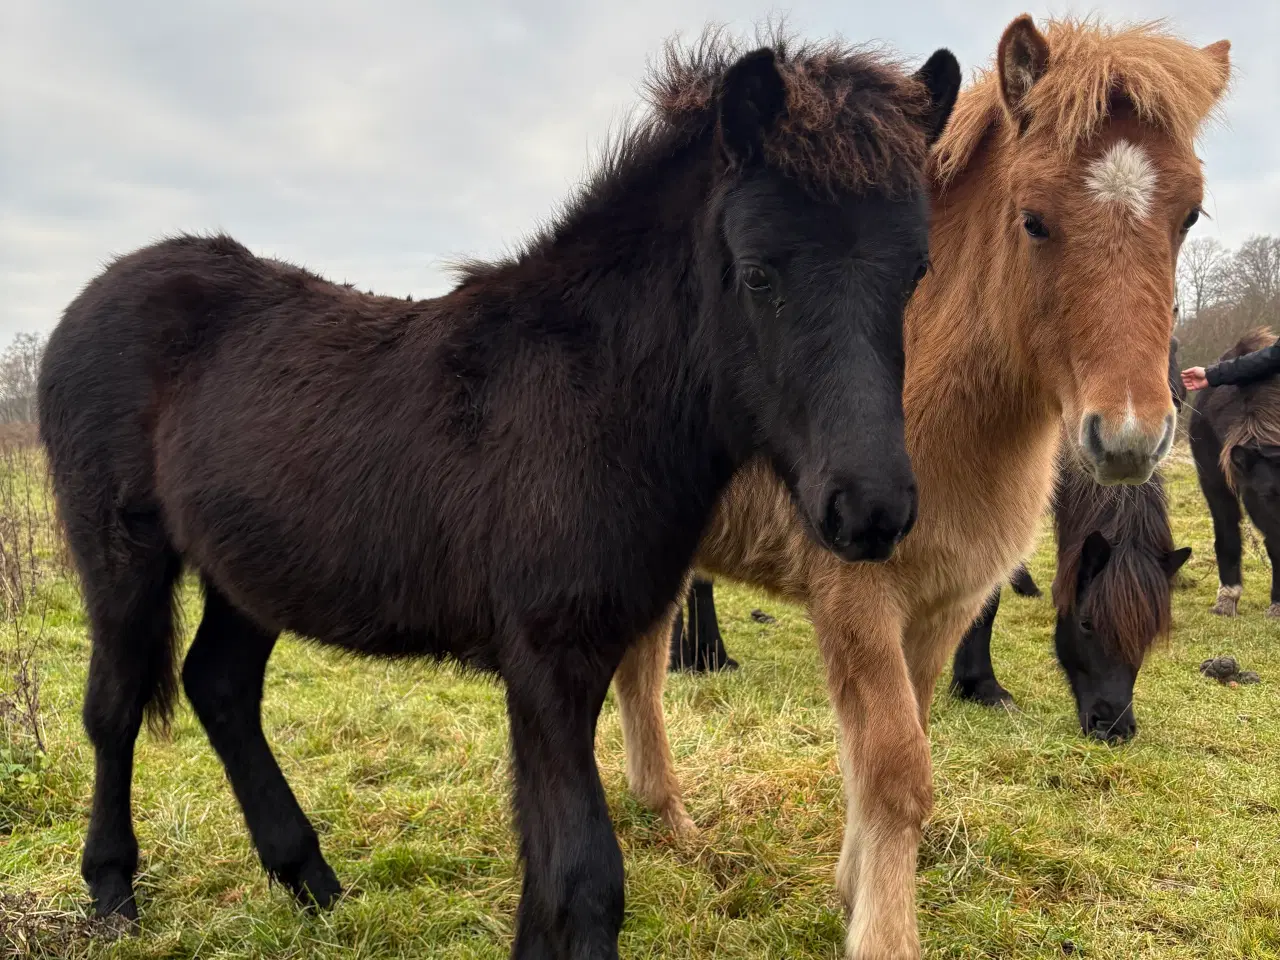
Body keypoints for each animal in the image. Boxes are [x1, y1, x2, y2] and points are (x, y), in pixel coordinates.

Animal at [37, 32, 962, 960]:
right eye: (760, 273)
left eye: (916, 272)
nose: (871, 513)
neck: (594, 396)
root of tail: (95, 292)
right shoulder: (545, 663)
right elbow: (585, 880)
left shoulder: (581, 665)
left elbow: (547, 880)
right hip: (120, 553)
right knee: (114, 708)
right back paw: (113, 890)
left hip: (249, 570)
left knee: (220, 687)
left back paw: (311, 882)